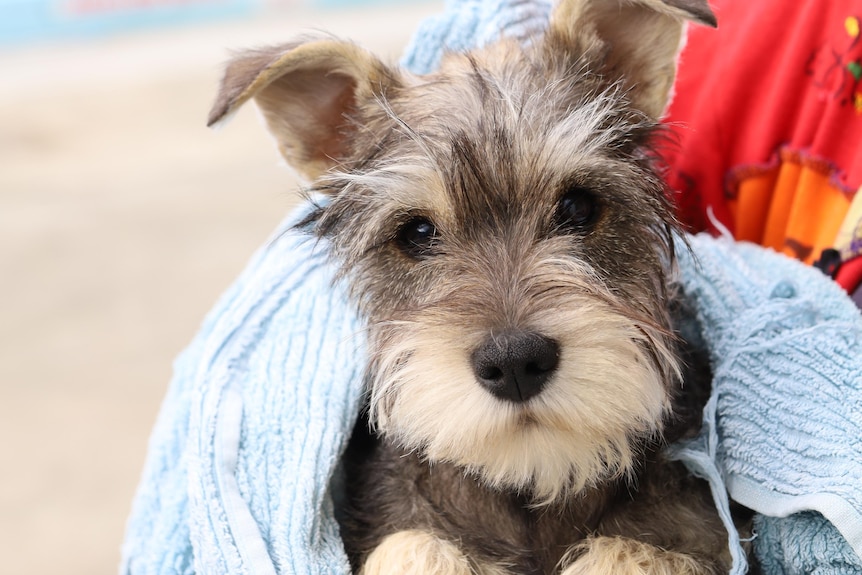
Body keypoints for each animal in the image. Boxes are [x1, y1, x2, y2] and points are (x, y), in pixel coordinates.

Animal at [209, 2, 748, 572]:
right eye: (417, 233)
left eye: (578, 206)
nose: (515, 362)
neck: (533, 480)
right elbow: (414, 543)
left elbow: (630, 550)